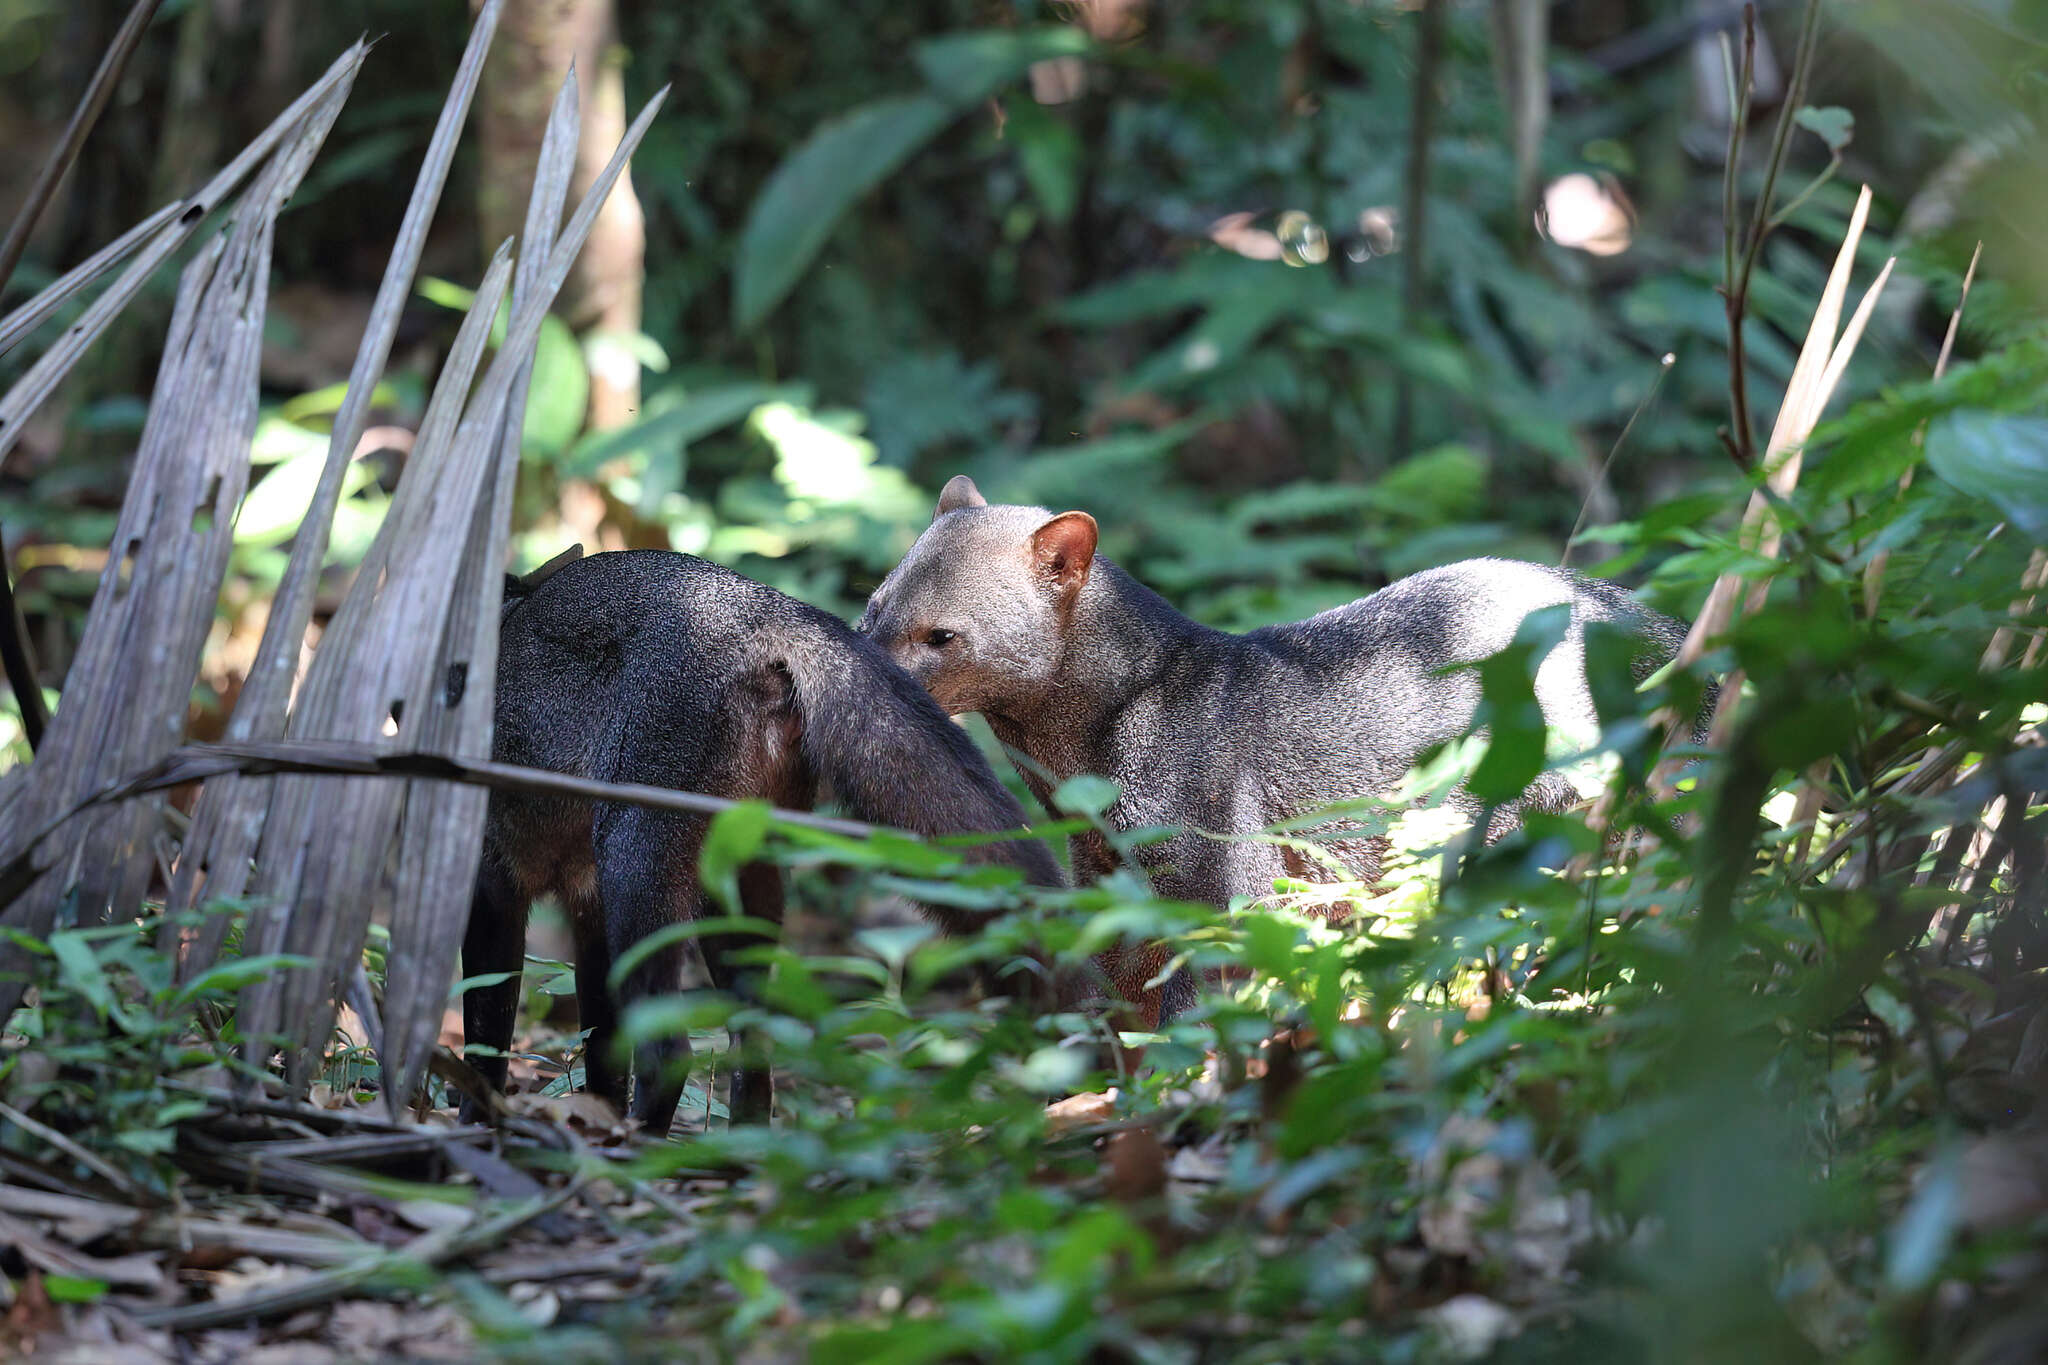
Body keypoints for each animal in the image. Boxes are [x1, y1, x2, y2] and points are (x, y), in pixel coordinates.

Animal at [466, 544, 1064, 1129]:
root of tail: (763, 606)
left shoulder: (494, 886)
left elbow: (486, 1039)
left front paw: (475, 1122)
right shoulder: (586, 912)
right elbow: (602, 1056)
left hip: (636, 867)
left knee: (670, 1051)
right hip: (733, 888)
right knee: (752, 1050)